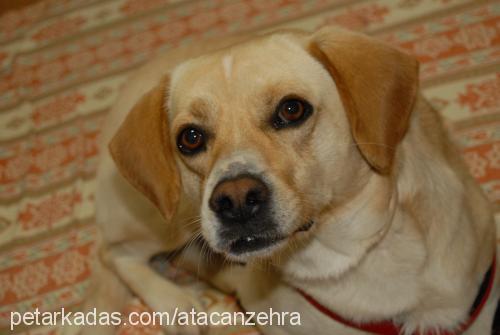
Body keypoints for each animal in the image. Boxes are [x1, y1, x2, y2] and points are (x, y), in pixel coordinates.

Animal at [86, 26, 496, 335]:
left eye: (291, 109)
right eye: (190, 137)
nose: (234, 200)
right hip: (163, 220)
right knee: (113, 253)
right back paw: (179, 305)